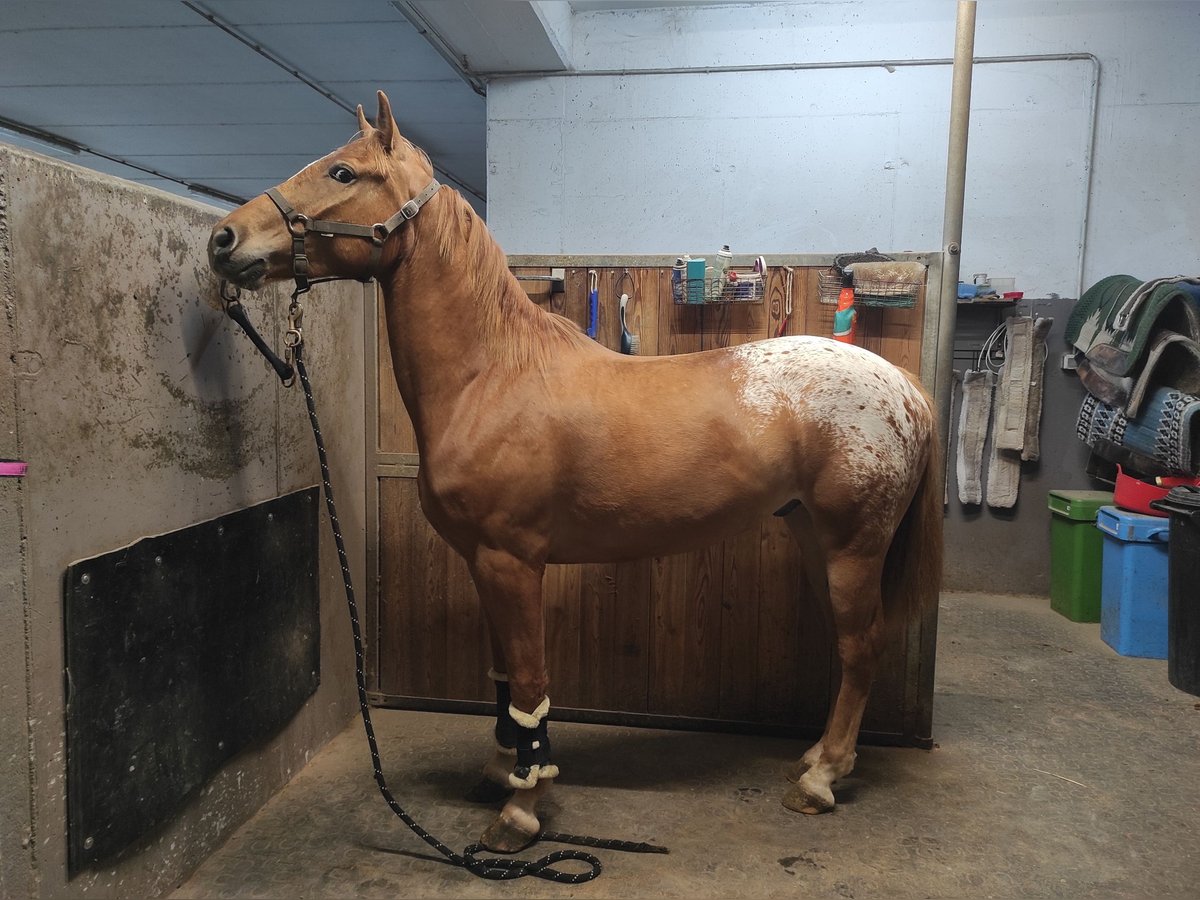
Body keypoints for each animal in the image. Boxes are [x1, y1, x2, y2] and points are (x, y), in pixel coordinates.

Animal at [206, 93, 940, 859]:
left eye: (343, 172)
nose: (224, 239)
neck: (491, 374)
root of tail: (903, 386)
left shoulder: (512, 561)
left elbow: (530, 683)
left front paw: (523, 811)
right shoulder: (482, 562)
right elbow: (504, 679)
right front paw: (501, 774)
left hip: (853, 548)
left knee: (860, 648)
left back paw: (822, 779)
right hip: (812, 537)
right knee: (851, 648)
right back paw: (815, 759)